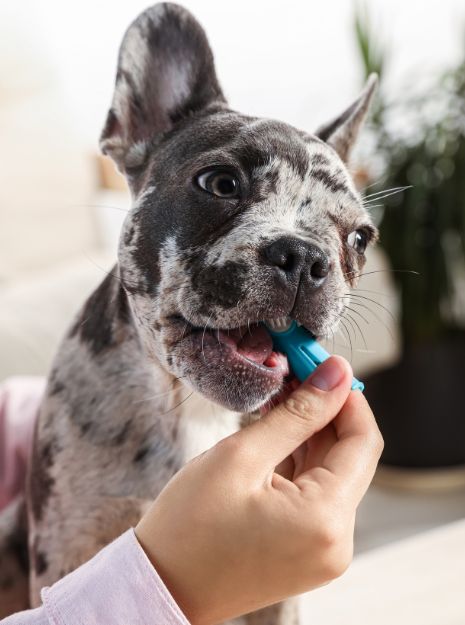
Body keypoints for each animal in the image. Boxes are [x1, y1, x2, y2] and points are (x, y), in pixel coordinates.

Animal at [0, 3, 376, 620]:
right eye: (220, 183)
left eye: (361, 239)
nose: (303, 255)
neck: (190, 406)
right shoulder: (68, 544)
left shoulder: (278, 604)